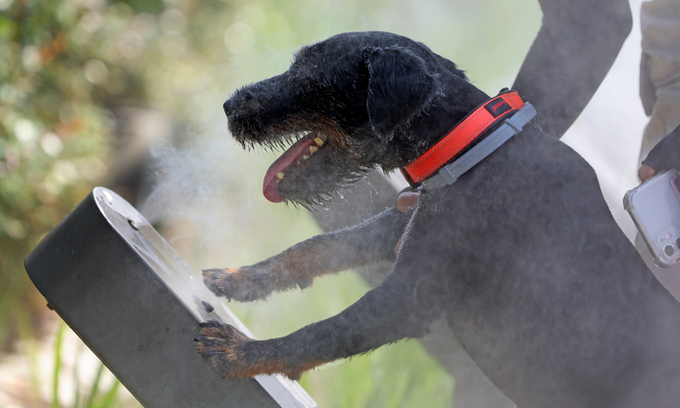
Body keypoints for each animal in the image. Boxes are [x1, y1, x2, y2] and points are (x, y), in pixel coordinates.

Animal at [194, 31, 680, 407]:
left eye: (311, 76)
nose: (228, 105)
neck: (468, 147)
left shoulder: (409, 298)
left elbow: (320, 334)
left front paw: (241, 353)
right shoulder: (405, 223)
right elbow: (320, 246)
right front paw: (241, 277)